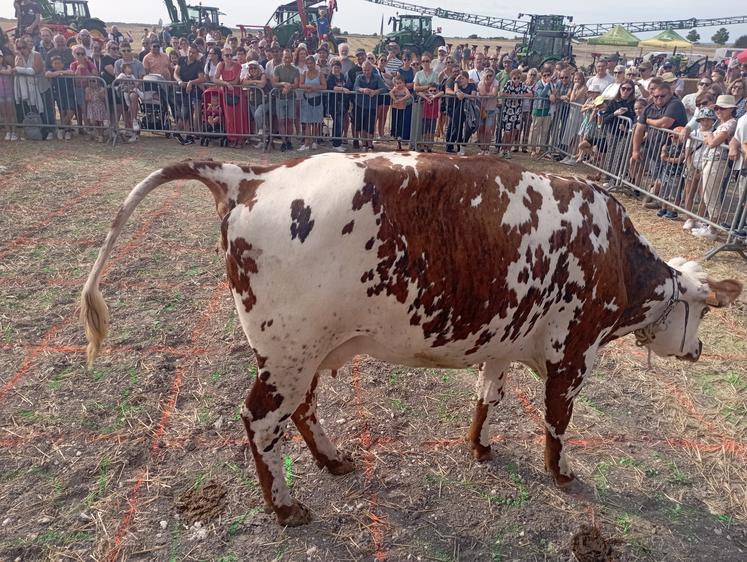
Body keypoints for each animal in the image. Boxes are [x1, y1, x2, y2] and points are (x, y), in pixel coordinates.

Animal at [82, 151, 744, 524]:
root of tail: (250, 176)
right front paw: (561, 475)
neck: (615, 255)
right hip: (288, 352)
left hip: (306, 351)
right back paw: (287, 507)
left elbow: (487, 396)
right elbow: (557, 424)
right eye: (702, 314)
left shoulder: (503, 343)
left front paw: (480, 447)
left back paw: (332, 460)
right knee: (261, 421)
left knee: (301, 411)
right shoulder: (572, 355)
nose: (699, 350)